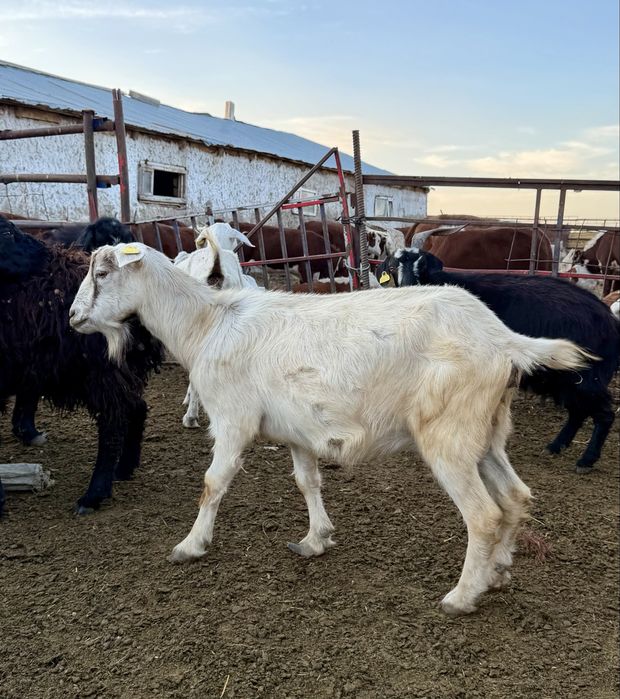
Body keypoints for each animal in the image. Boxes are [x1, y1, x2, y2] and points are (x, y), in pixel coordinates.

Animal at [0, 218, 164, 514]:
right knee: (135, 408)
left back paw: (94, 495)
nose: (44, 254)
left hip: (101, 370)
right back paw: (124, 468)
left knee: (113, 423)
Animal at [69, 242, 591, 616]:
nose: (73, 317)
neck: (207, 324)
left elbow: (212, 484)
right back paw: (497, 572)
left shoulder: (233, 419)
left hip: (450, 434)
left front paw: (190, 545)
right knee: (515, 497)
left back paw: (462, 597)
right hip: (487, 432)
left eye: (103, 273)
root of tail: (503, 339)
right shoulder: (297, 430)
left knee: (483, 515)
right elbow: (308, 481)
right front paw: (315, 538)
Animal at [378, 248, 619, 472]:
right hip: (565, 380)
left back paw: (586, 460)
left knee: (604, 414)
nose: (407, 287)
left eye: (422, 267)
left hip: (586, 379)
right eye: (392, 268)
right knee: (578, 411)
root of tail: (609, 320)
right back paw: (556, 446)